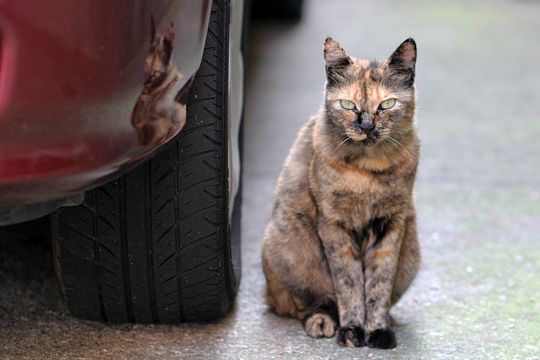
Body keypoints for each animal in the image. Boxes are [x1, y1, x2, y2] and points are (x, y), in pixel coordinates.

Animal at [262, 37, 422, 348]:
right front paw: (352, 330)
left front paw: (377, 329)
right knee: (304, 304)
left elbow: (379, 284)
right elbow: (348, 283)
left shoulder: (392, 224)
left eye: (387, 104)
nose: (367, 126)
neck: (369, 170)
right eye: (348, 104)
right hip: (288, 248)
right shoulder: (335, 224)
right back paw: (322, 321)